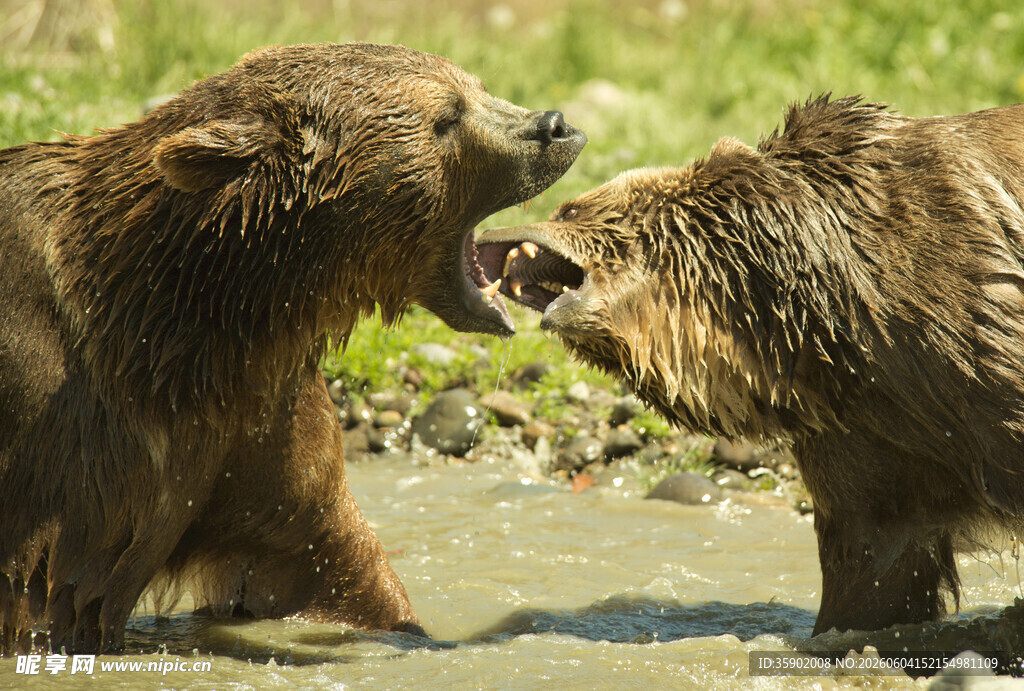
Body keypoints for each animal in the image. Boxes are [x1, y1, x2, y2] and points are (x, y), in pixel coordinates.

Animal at [0, 42, 585, 653]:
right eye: (447, 117)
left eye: (475, 87)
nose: (554, 125)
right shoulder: (72, 444)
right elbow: (49, 586)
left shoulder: (254, 421)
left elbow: (325, 551)